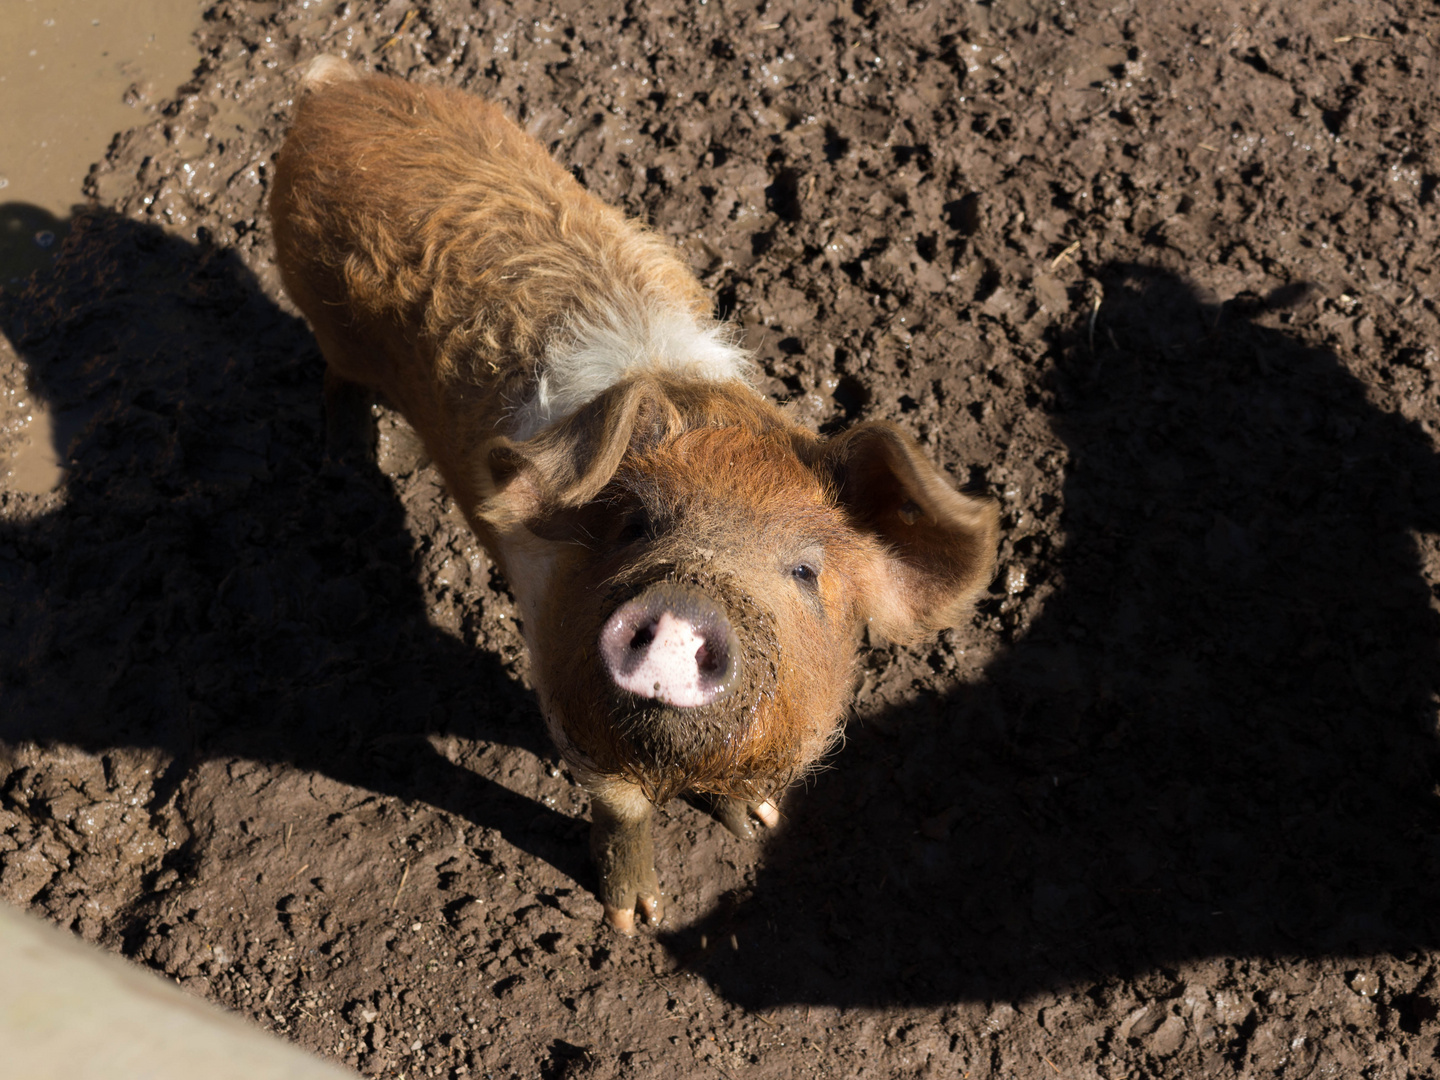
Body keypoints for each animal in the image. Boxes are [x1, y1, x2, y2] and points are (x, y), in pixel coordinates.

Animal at [270, 55, 996, 933]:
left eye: (805, 571)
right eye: (636, 527)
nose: (684, 608)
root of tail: (333, 85)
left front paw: (759, 824)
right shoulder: (559, 683)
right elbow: (620, 807)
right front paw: (636, 921)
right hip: (319, 312)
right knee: (334, 375)